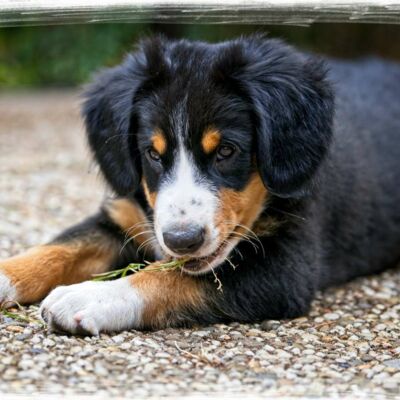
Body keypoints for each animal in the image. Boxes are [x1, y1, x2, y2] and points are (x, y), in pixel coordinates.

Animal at [0, 35, 399, 335]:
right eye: (152, 153)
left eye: (226, 151)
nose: (182, 240)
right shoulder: (123, 217)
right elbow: (60, 248)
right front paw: (7, 274)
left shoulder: (285, 266)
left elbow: (167, 278)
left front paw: (89, 298)